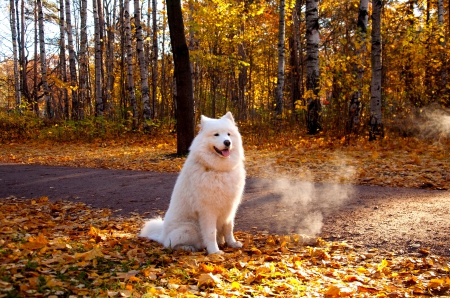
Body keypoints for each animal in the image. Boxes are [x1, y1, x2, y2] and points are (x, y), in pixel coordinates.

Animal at [141, 112, 246, 254]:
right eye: (216, 134)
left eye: (228, 134)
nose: (227, 142)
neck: (218, 170)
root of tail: (161, 235)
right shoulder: (208, 211)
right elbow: (210, 233)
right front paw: (214, 251)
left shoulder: (230, 209)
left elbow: (229, 229)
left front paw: (232, 243)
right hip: (189, 229)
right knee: (170, 244)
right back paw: (188, 247)